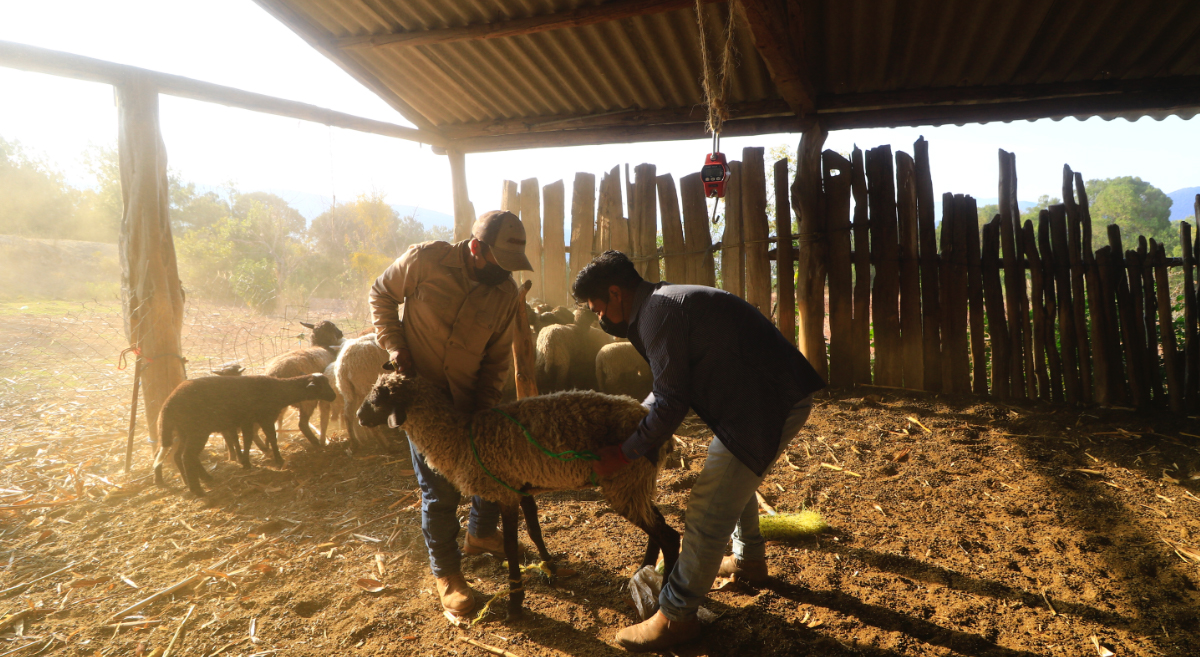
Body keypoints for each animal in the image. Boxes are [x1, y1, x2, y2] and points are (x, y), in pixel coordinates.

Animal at [352, 371, 676, 618]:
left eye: (378, 398)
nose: (358, 416)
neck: (461, 437)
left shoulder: (505, 491)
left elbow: (510, 546)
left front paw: (516, 603)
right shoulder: (522, 486)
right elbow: (534, 530)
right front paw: (550, 569)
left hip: (625, 481)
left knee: (669, 534)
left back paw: (664, 591)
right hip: (635, 484)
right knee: (657, 527)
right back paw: (644, 572)